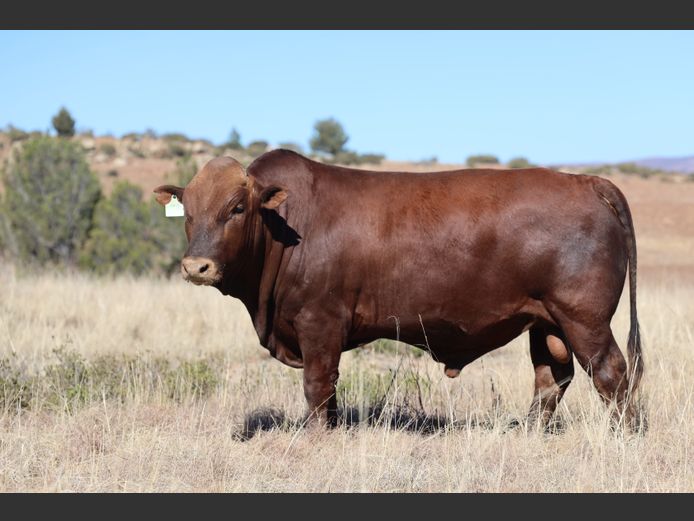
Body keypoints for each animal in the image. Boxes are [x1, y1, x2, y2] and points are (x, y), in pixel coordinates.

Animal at [154, 150, 643, 431]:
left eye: (237, 208)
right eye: (188, 211)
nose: (196, 266)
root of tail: (586, 181)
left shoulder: (319, 322)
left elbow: (317, 385)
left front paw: (315, 436)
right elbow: (329, 391)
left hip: (584, 318)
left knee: (612, 373)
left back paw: (625, 436)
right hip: (546, 321)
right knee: (551, 378)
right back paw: (529, 433)